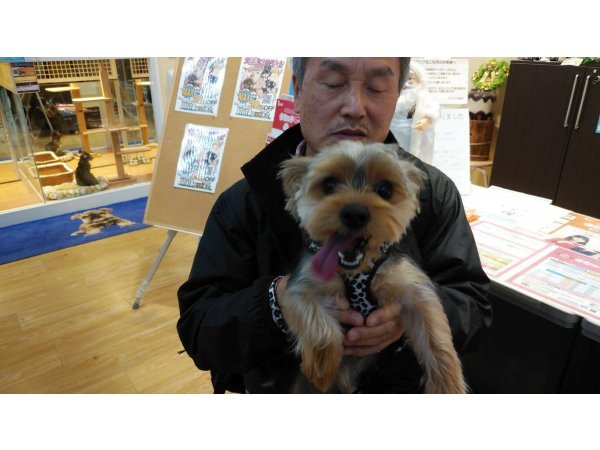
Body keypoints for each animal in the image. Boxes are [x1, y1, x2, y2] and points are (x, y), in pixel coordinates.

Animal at [278, 141, 467, 394]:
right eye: (329, 184)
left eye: (384, 189)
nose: (354, 213)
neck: (357, 270)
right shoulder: (300, 286)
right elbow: (319, 327)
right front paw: (322, 369)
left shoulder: (411, 288)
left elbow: (435, 334)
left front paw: (447, 386)